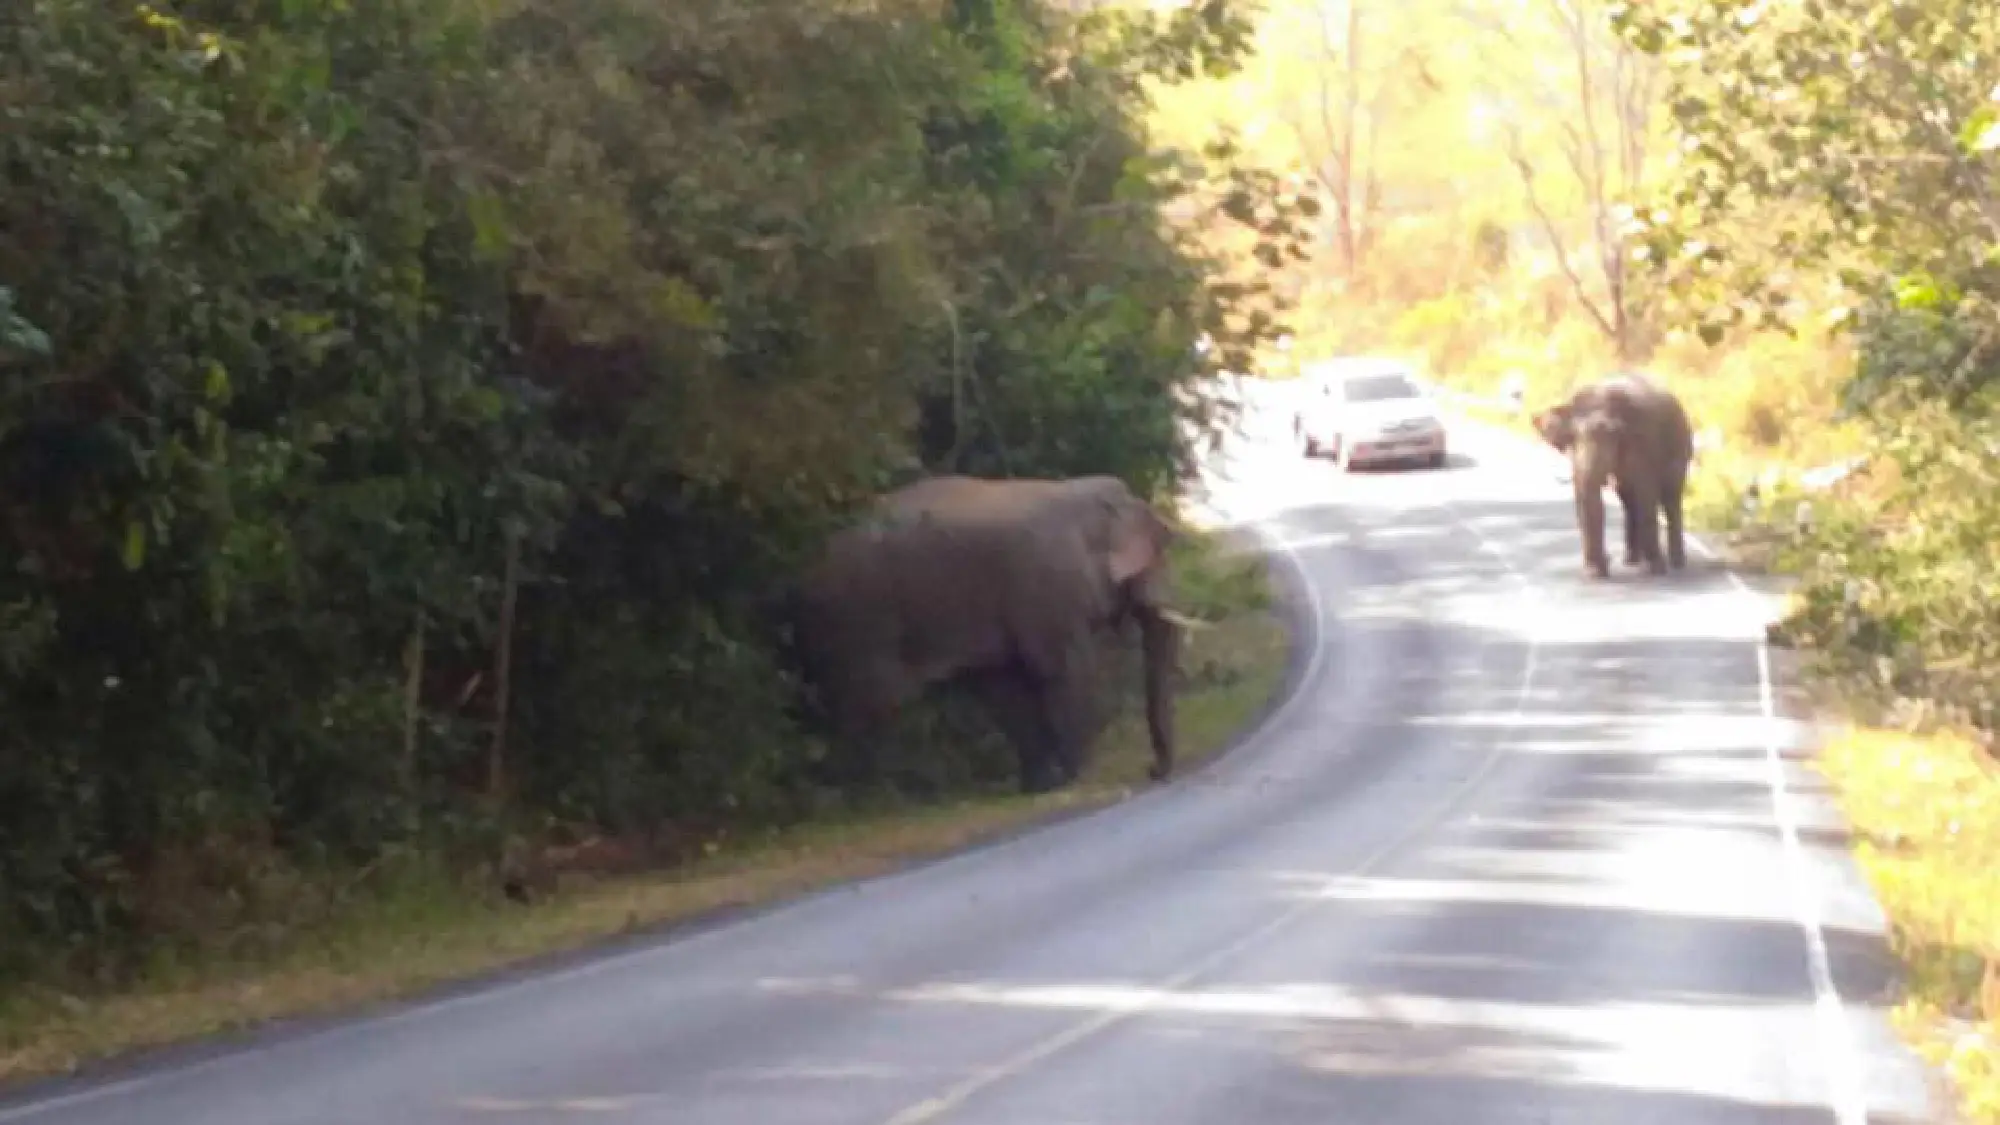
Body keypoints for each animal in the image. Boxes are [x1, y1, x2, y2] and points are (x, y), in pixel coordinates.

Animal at [785, 473, 1203, 794]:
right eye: (1158, 556)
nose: (1153, 772)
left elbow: (1004, 686)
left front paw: (1043, 786)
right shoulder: (1048, 585)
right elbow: (1063, 671)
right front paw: (1079, 778)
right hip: (857, 623)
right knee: (870, 708)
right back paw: (876, 798)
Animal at [1531, 374, 1695, 579]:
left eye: (1612, 435)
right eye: (1571, 438)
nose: (1607, 560)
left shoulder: (1644, 445)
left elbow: (1646, 494)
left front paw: (1657, 570)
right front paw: (1595, 572)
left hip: (1682, 450)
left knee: (1670, 499)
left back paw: (1675, 563)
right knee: (1628, 501)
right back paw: (1632, 561)